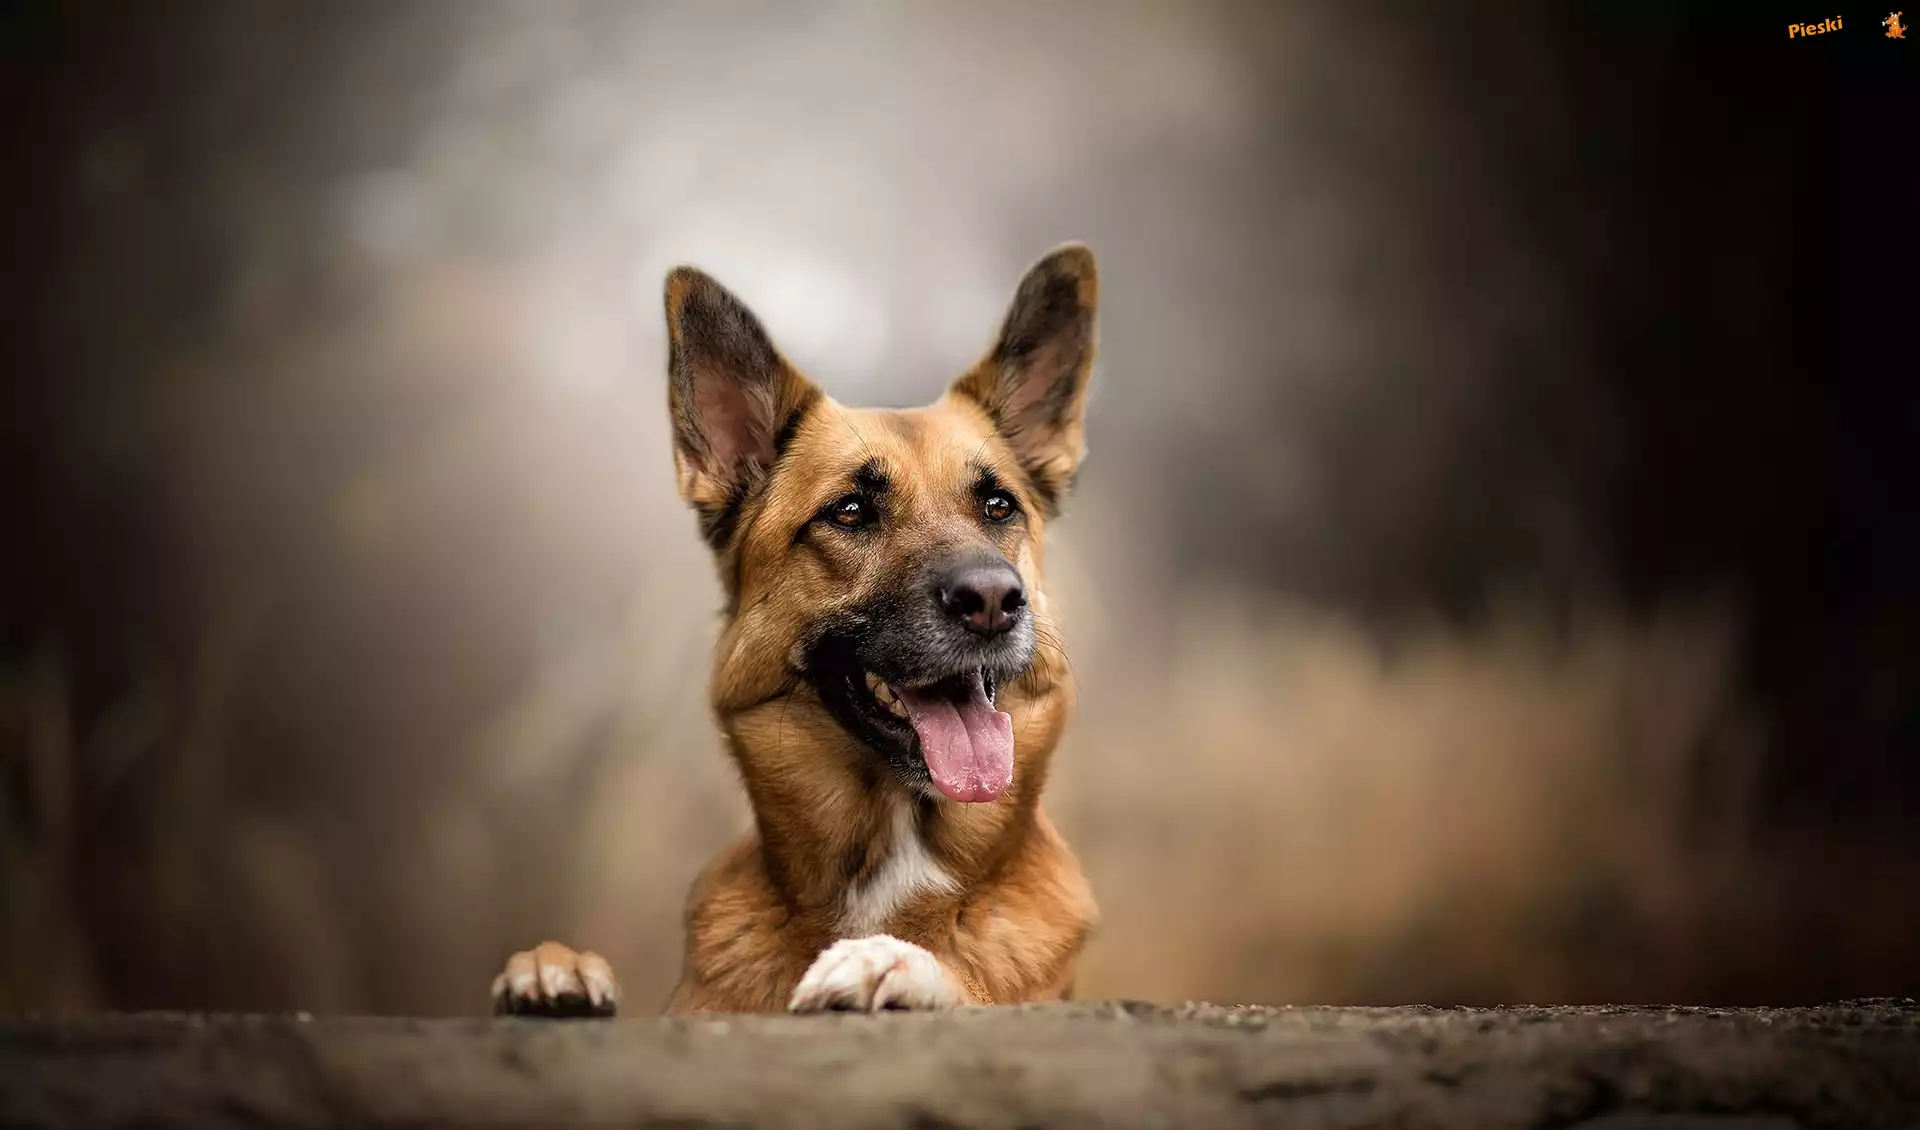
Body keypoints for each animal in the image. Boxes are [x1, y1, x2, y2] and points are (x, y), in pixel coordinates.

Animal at [491, 245, 1101, 1015]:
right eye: (850, 511)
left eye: (998, 506)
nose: (994, 600)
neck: (894, 856)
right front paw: (559, 969)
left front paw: (898, 964)